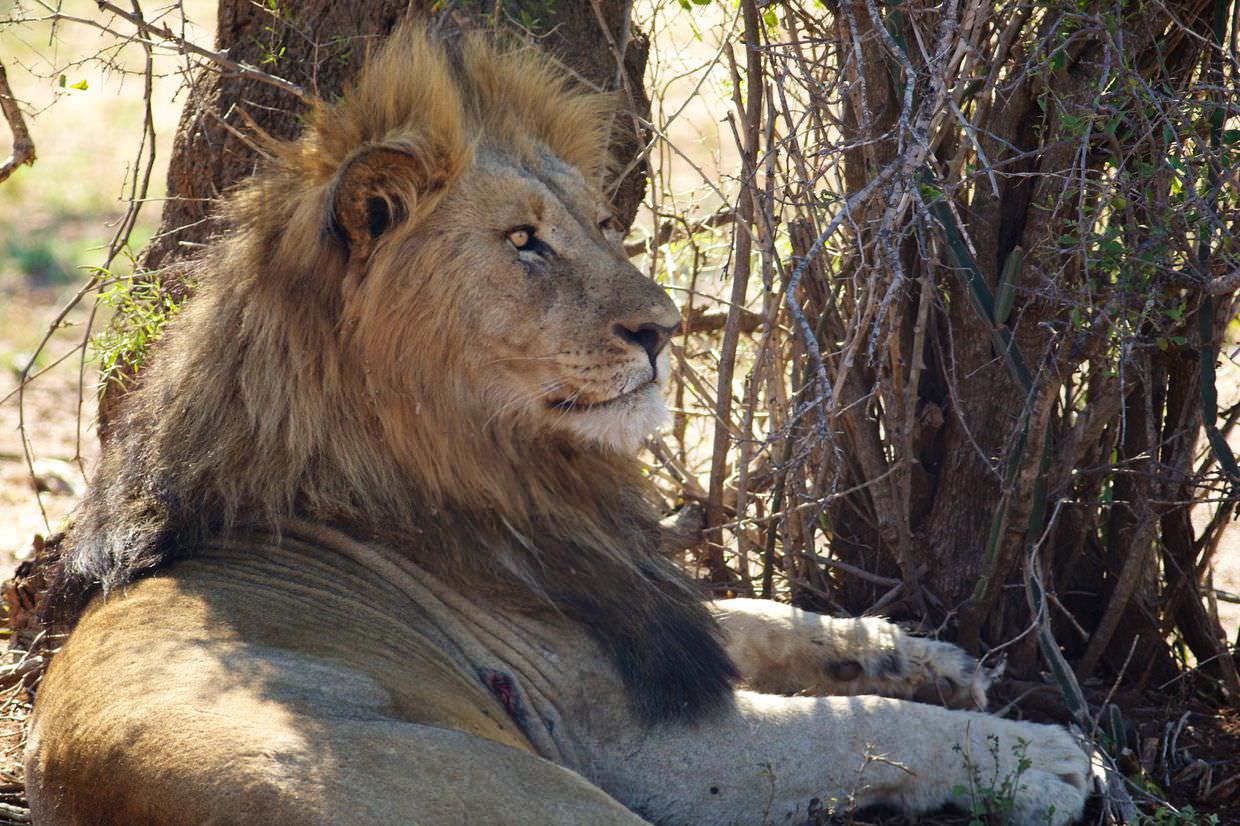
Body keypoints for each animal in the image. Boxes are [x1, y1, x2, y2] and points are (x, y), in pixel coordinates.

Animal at [24, 25, 1091, 823]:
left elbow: (760, 616)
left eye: (601, 226)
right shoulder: (628, 743)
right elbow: (861, 728)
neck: (510, 469)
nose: (664, 327)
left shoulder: (632, 611)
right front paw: (1041, 758)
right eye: (525, 242)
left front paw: (930, 658)